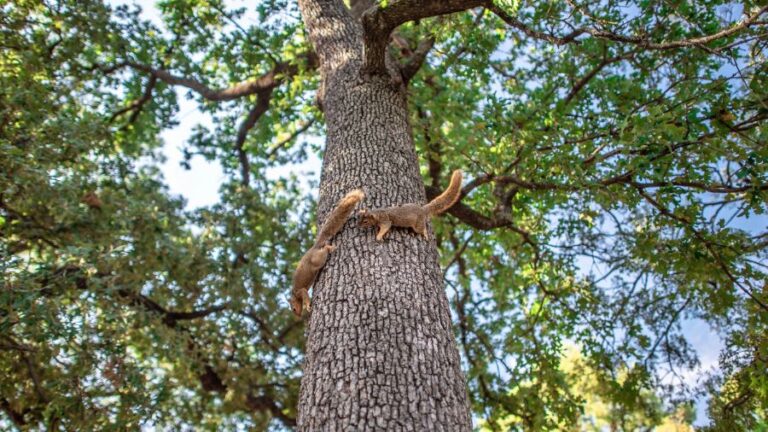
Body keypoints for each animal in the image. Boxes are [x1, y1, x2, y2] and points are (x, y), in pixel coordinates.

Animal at [289, 189, 365, 317]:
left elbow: (305, 294)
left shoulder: (301, 291)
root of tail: (314, 247)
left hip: (317, 259)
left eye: (293, 309)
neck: (295, 294)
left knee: (324, 252)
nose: (298, 316)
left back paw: (330, 248)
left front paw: (307, 306)